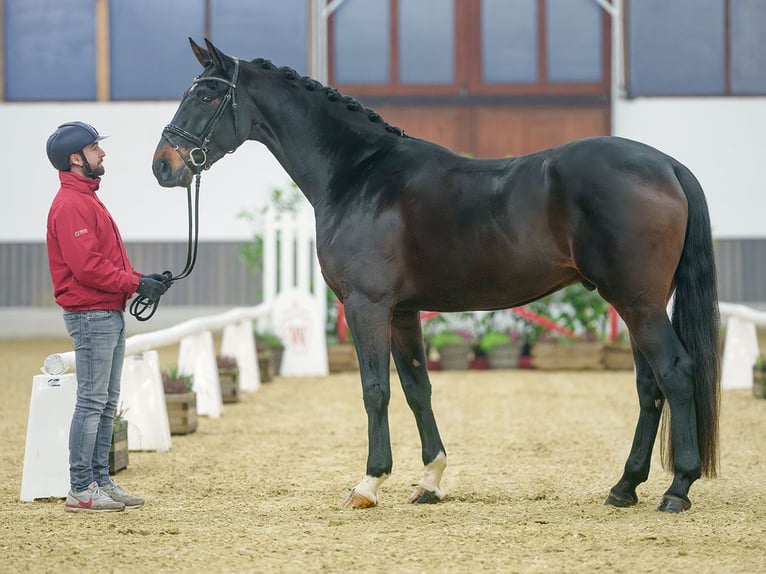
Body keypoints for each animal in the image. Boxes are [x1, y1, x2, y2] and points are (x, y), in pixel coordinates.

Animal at [154, 40, 720, 516]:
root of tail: (666, 165)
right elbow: (416, 387)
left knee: (675, 373)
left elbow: (375, 389)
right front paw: (430, 480)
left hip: (639, 304)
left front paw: (369, 483)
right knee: (649, 386)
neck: (359, 175)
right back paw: (625, 486)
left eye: (205, 94)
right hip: (634, 303)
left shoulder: (366, 305)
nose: (163, 167)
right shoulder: (404, 312)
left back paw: (677, 488)